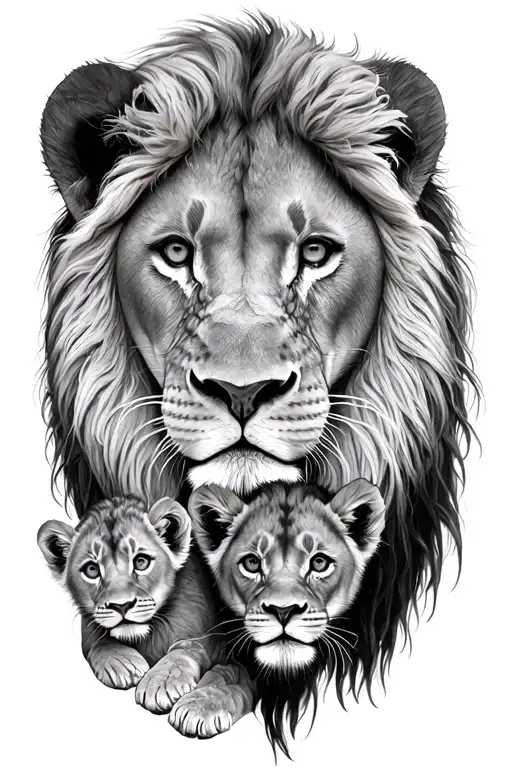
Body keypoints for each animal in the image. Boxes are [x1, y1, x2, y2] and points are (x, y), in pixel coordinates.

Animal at [37, 495, 254, 736]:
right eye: (92, 569)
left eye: (141, 562)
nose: (121, 605)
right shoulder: (91, 629)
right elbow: (99, 644)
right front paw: (125, 664)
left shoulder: (214, 642)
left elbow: (193, 653)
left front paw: (167, 687)